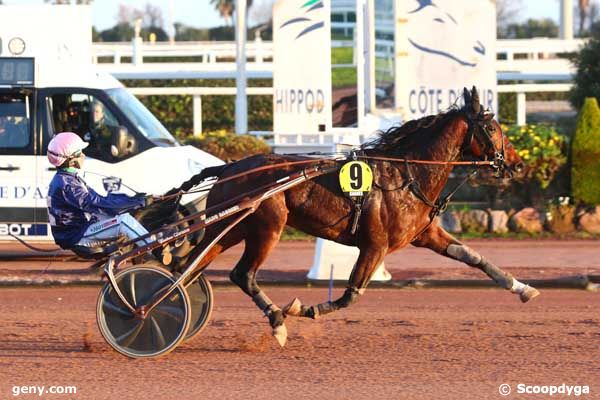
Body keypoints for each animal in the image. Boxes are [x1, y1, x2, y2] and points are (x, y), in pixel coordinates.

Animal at [165, 86, 540, 346]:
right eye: (493, 128)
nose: (518, 163)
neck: (406, 175)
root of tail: (229, 167)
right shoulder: (375, 246)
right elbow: (350, 294)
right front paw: (302, 309)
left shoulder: (424, 234)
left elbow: (474, 257)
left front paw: (522, 288)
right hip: (267, 226)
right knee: (243, 274)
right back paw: (277, 321)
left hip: (232, 227)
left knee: (192, 267)